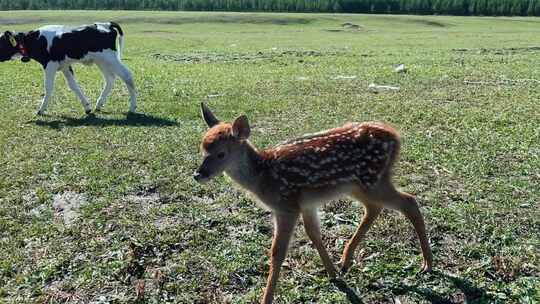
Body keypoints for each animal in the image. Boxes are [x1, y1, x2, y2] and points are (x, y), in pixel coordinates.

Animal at [0, 22, 137, 115]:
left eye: (1, 41)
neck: (37, 40)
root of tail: (106, 24)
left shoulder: (50, 65)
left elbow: (48, 87)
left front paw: (41, 110)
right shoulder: (65, 66)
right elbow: (73, 85)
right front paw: (87, 107)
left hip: (111, 58)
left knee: (127, 75)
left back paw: (132, 107)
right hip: (102, 61)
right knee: (110, 78)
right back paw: (99, 104)